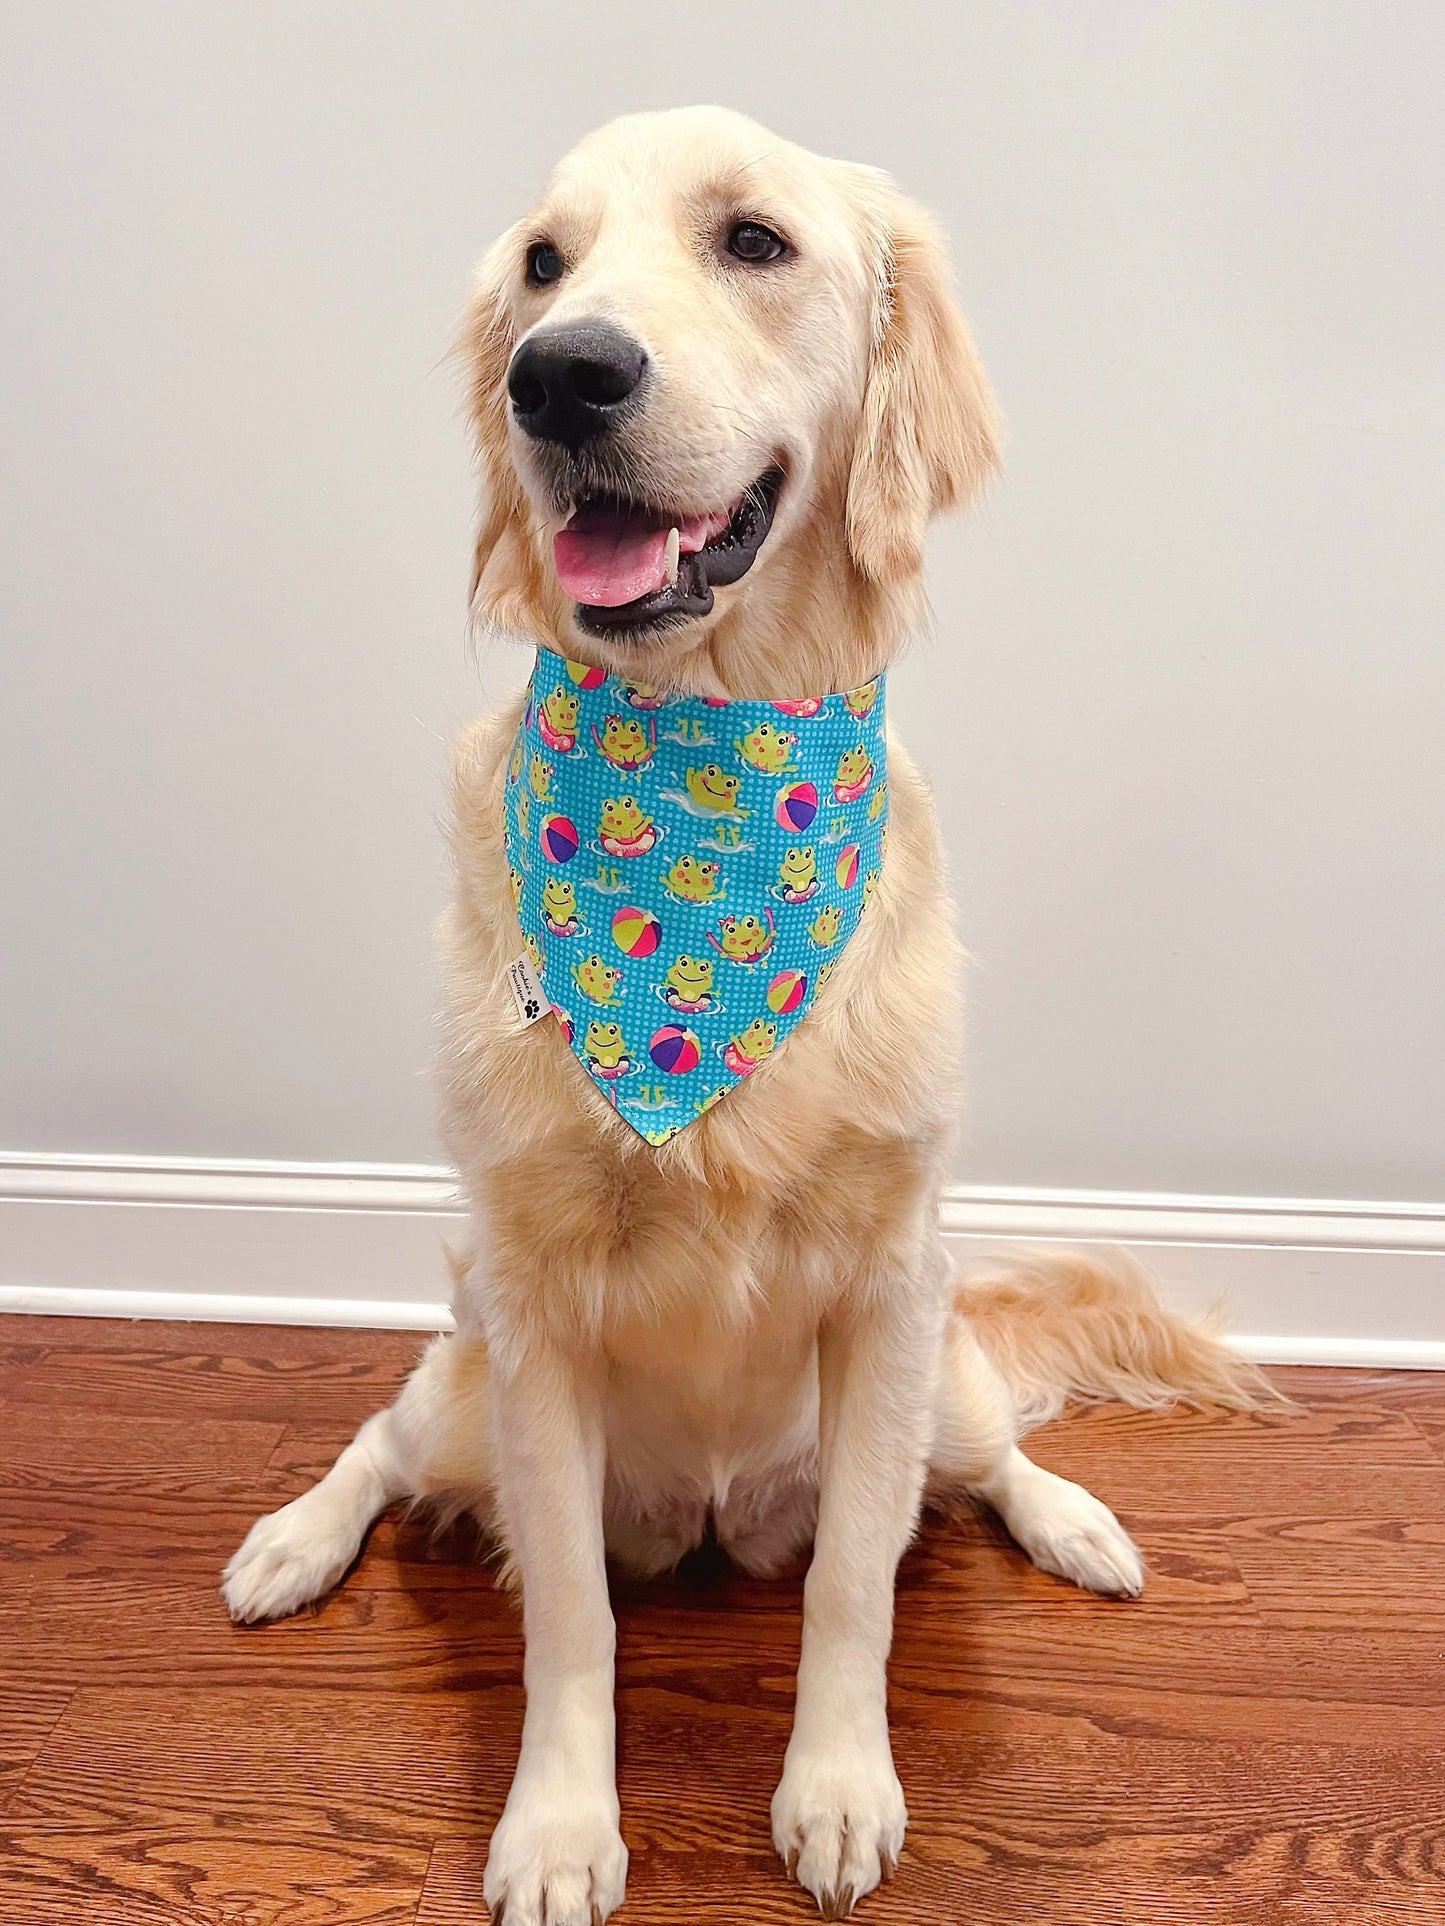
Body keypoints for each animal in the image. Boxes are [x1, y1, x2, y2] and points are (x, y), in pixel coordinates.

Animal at [223, 105, 1263, 1926]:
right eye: (542, 266)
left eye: (755, 242)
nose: (559, 377)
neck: (701, 809)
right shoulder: (531, 1312)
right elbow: (571, 1618)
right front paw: (560, 1827)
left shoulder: (890, 1280)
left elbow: (856, 1582)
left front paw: (836, 1786)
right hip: (465, 1390)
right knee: (378, 1438)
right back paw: (295, 1539)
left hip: (940, 1372)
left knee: (987, 1457)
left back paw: (1075, 1521)